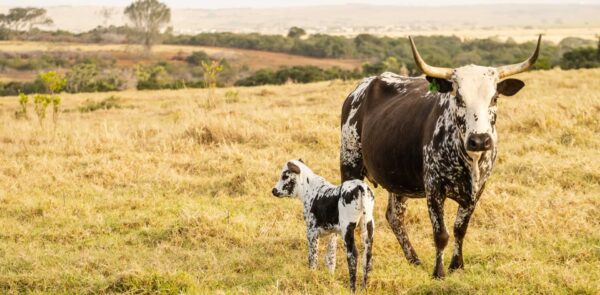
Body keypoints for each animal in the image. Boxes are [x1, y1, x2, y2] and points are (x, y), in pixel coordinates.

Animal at [272, 160, 376, 294]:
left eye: (285, 176)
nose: (274, 190)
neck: (309, 189)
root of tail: (360, 186)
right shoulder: (333, 233)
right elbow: (330, 258)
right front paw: (330, 277)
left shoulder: (311, 233)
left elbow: (313, 258)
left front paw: (311, 276)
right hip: (368, 226)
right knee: (367, 256)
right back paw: (363, 289)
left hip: (348, 230)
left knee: (353, 255)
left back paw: (352, 289)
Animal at [340, 35, 540, 280]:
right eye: (459, 97)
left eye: (494, 98)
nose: (480, 140)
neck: (469, 158)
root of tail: (360, 89)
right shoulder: (434, 189)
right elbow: (441, 234)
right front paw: (439, 272)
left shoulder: (477, 190)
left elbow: (460, 229)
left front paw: (457, 265)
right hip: (350, 164)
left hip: (398, 180)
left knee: (395, 217)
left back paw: (414, 260)